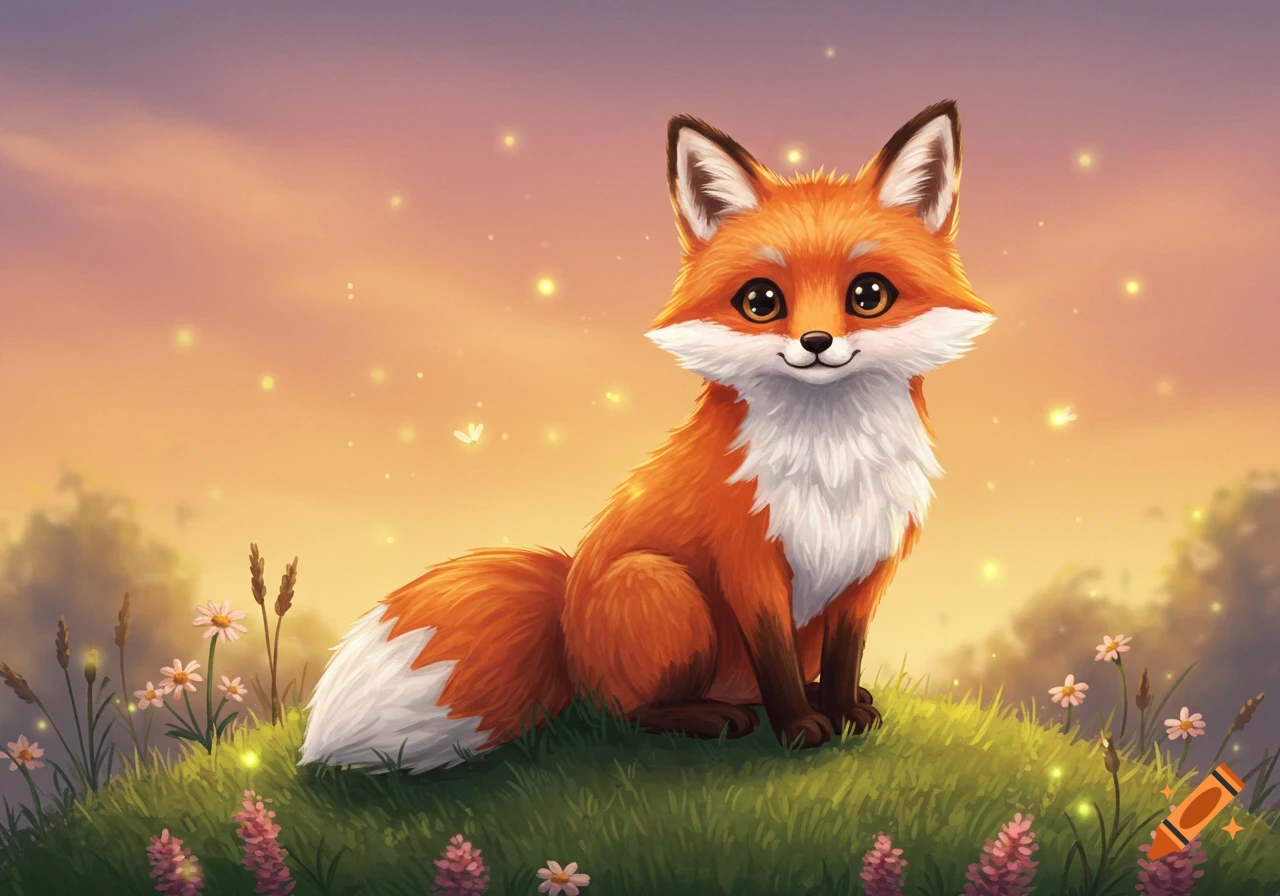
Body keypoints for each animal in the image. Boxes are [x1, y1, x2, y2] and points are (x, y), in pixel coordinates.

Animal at [299, 100, 995, 773]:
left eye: (868, 294)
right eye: (762, 301)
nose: (816, 343)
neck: (832, 461)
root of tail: (566, 612)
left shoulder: (866, 565)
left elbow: (847, 656)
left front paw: (844, 711)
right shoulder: (749, 561)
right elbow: (774, 659)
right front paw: (800, 728)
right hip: (662, 587)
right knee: (624, 713)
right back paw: (710, 718)